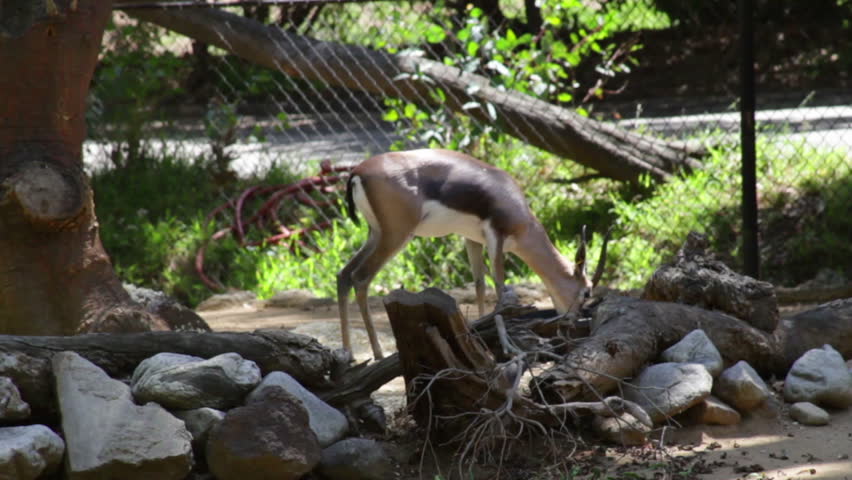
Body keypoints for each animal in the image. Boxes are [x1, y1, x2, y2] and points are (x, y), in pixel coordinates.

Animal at [337, 149, 611, 359]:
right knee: (361, 277)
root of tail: (358, 171)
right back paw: (377, 353)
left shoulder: (473, 240)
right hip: (397, 235)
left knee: (344, 275)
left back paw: (349, 353)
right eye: (586, 291)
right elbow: (500, 288)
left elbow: (479, 285)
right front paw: (507, 345)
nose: (573, 320)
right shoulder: (496, 238)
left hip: (376, 234)